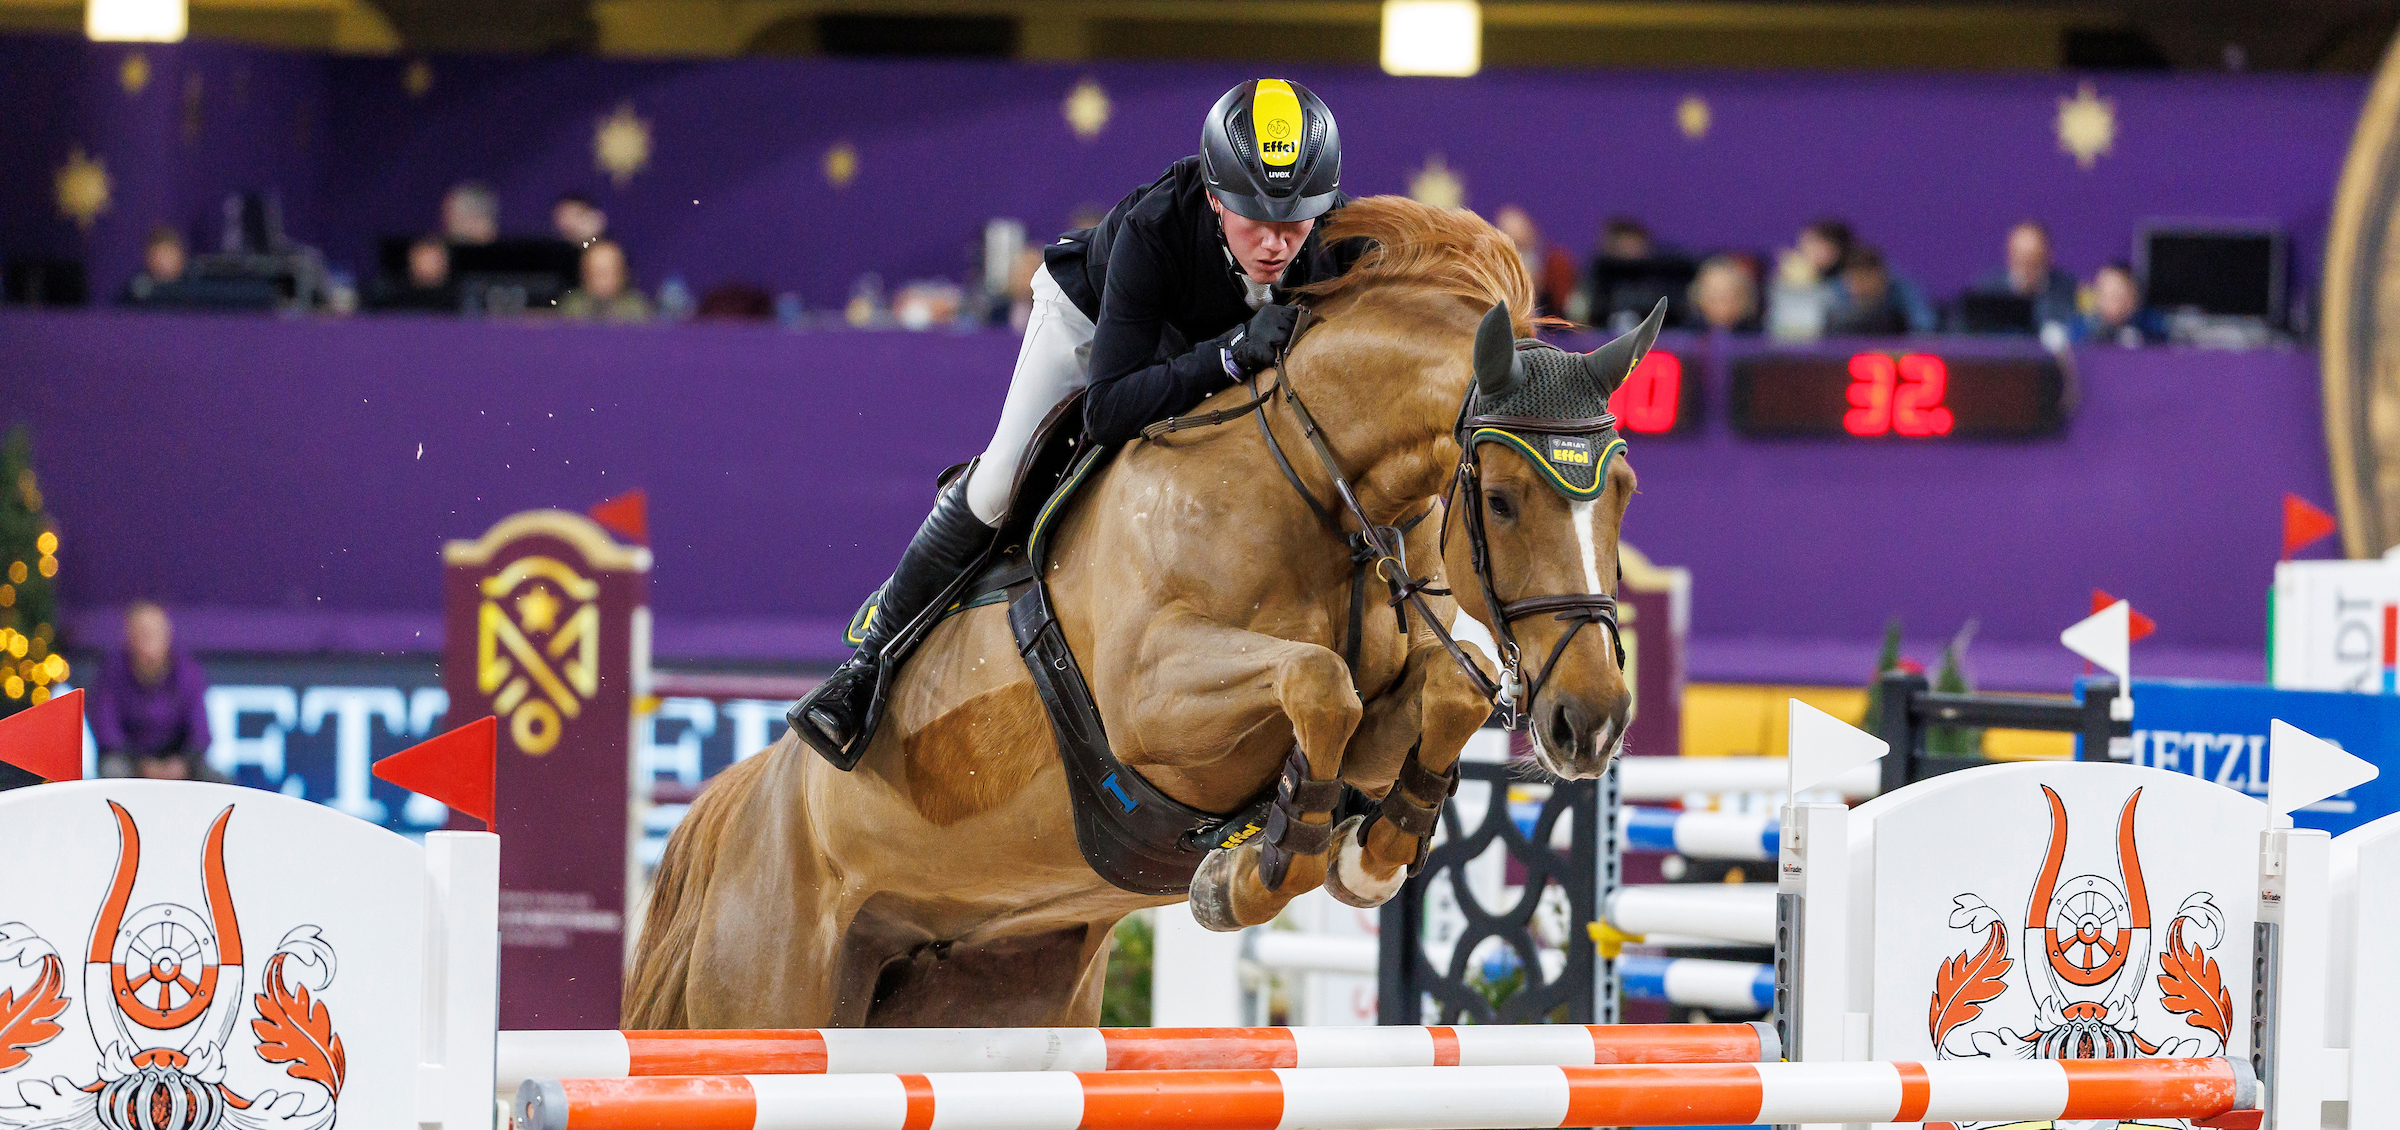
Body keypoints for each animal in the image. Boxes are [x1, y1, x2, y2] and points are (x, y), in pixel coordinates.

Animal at [628, 199, 1641, 1031]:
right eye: (1502, 500)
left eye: (1624, 491)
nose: (1590, 724)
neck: (1319, 491)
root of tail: (743, 804)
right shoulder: (1151, 705)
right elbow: (1319, 680)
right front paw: (1254, 874)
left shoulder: (1390, 693)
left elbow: (1443, 693)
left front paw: (1371, 853)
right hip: (772, 991)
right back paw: (837, 705)